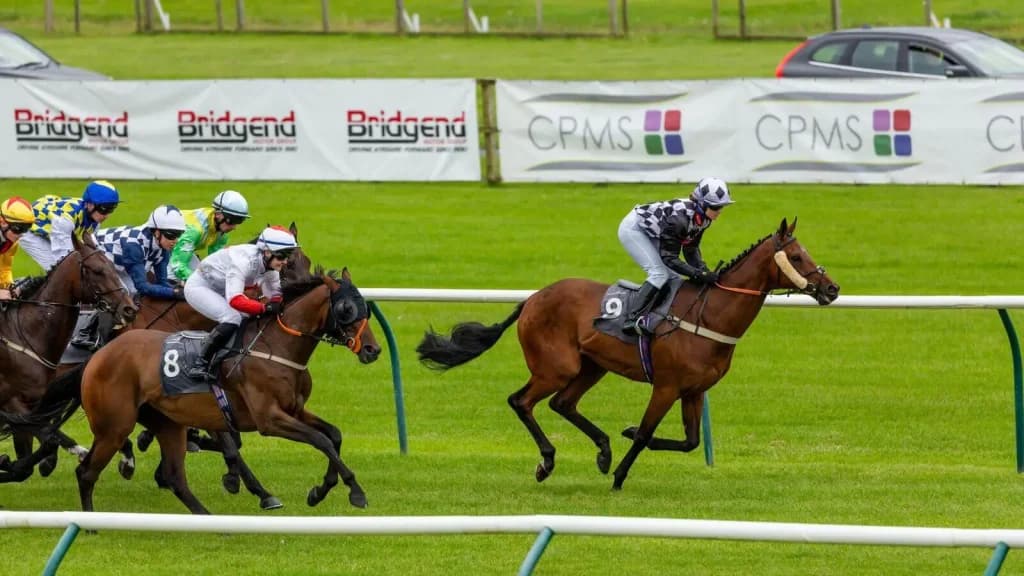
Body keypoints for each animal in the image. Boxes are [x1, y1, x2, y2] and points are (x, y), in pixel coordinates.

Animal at [0, 233, 138, 482]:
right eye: (96, 270)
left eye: (113, 267)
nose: (129, 309)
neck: (25, 335)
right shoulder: (13, 405)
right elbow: (50, 439)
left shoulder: (30, 408)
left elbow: (35, 453)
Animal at [23, 267, 374, 513]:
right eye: (346, 309)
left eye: (367, 308)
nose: (373, 349)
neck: (277, 348)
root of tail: (99, 356)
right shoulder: (269, 419)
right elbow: (320, 441)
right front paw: (354, 491)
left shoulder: (295, 409)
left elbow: (333, 435)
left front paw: (320, 490)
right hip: (115, 423)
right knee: (87, 469)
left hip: (162, 421)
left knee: (173, 474)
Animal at [417, 218, 840, 490]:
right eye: (797, 257)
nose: (832, 289)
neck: (709, 313)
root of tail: (532, 299)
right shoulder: (666, 386)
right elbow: (647, 433)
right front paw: (621, 472)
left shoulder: (694, 391)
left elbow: (690, 442)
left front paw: (623, 441)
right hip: (557, 367)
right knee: (521, 401)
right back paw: (548, 460)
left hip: (591, 367)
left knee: (562, 404)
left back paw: (602, 451)